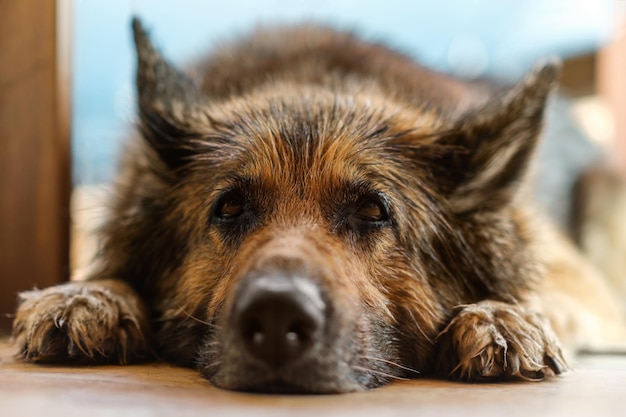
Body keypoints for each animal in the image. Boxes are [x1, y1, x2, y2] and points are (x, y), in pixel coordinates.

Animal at [11, 17, 624, 394]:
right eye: (229, 208)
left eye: (374, 211)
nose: (277, 317)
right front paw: (92, 294)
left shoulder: (581, 280)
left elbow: (548, 293)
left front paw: (501, 313)